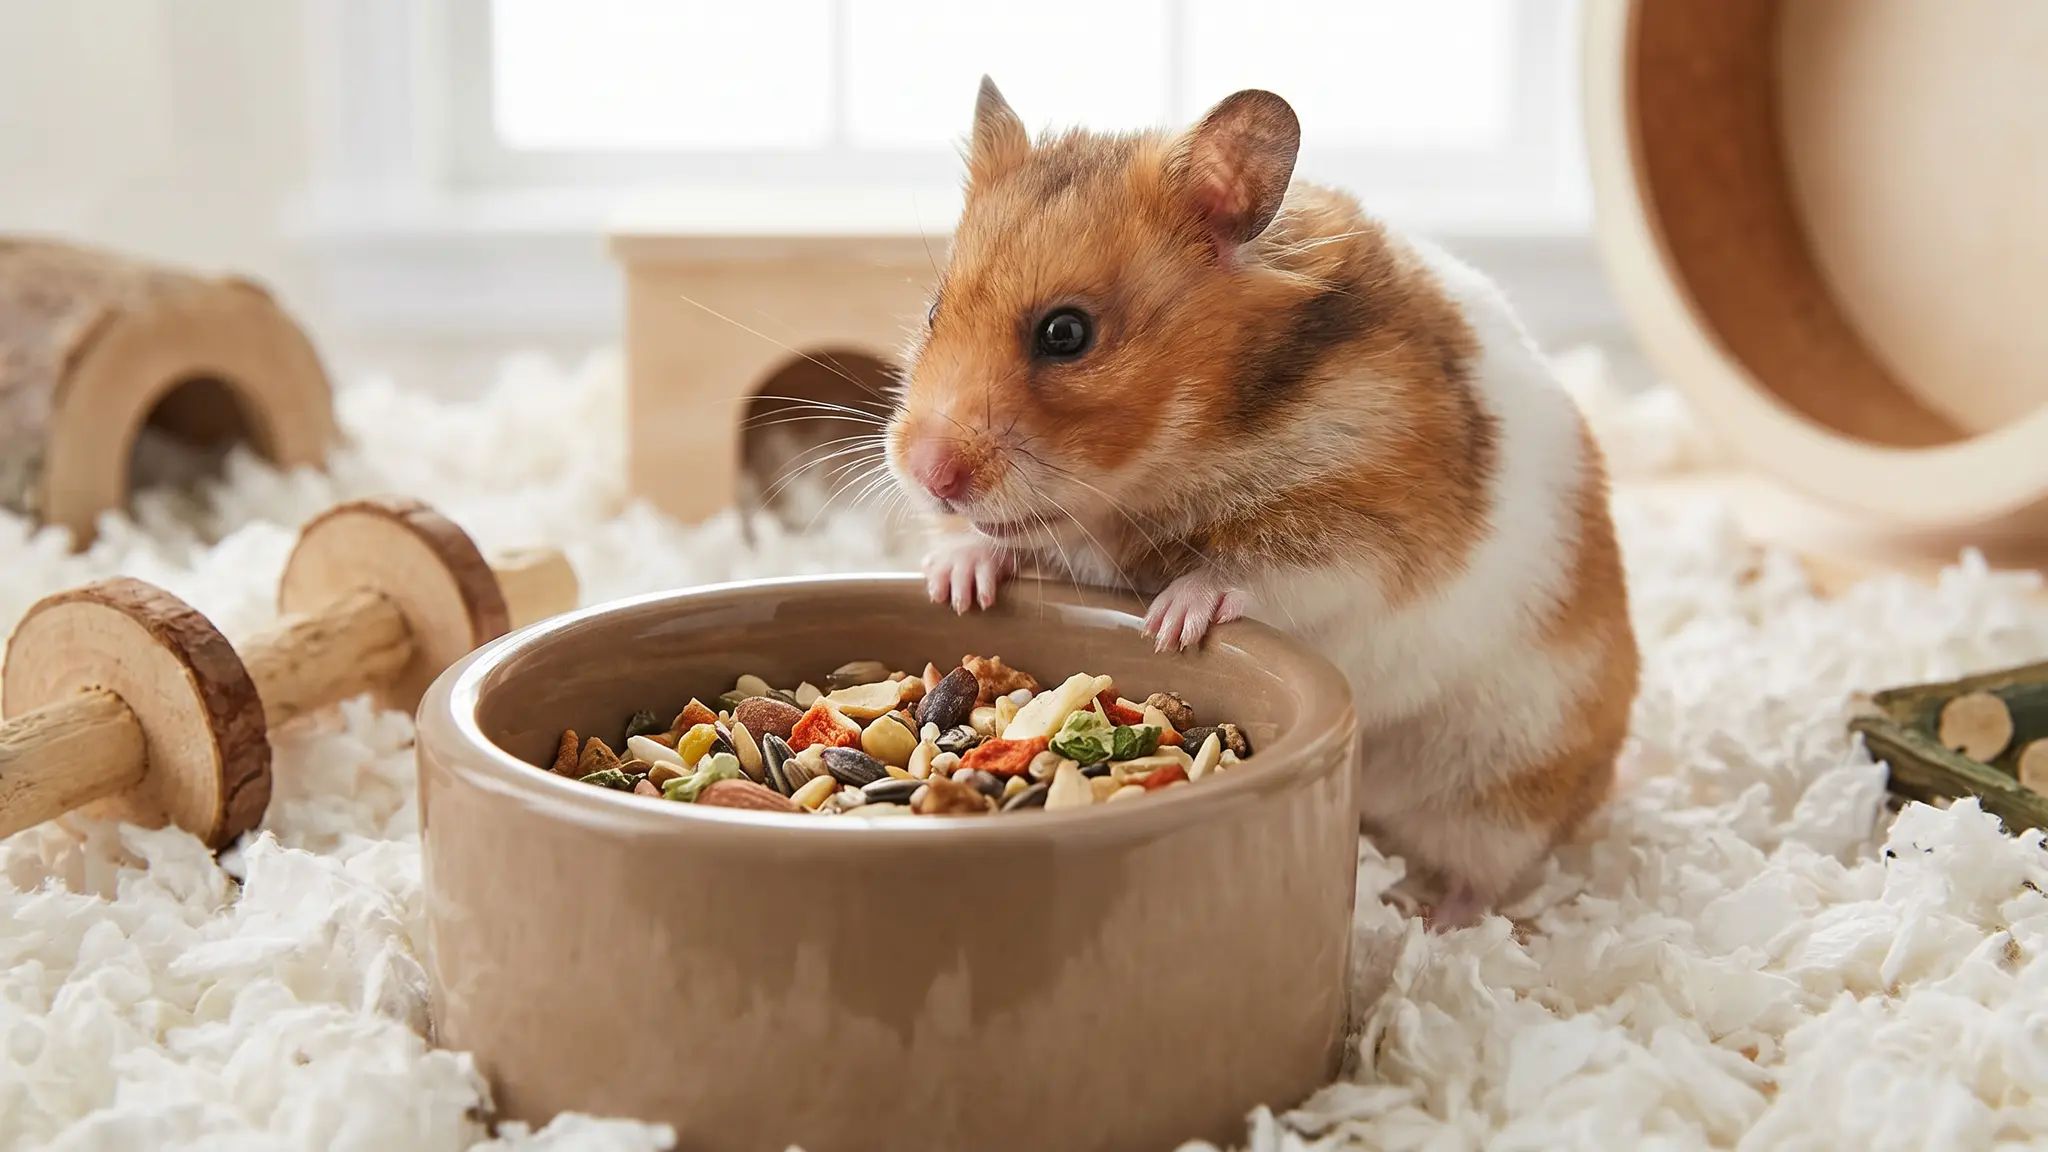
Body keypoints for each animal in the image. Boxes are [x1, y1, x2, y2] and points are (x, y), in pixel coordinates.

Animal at [882, 77, 1640, 930]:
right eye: (934, 311)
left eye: (1066, 333)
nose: (926, 472)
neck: (1190, 446)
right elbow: (1003, 542)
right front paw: (955, 580)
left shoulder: (1368, 534)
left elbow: (1260, 569)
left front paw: (1172, 622)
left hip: (1501, 784)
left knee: (1489, 870)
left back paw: (1431, 916)